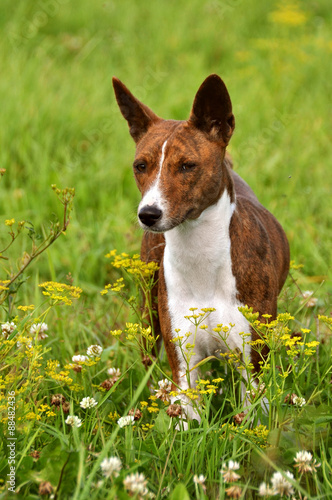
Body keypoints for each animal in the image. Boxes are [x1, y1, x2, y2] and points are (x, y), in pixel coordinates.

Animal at [113, 73, 290, 418]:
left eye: (187, 165)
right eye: (140, 166)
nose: (148, 214)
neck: (200, 256)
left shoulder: (252, 370)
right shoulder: (185, 369)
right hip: (148, 312)